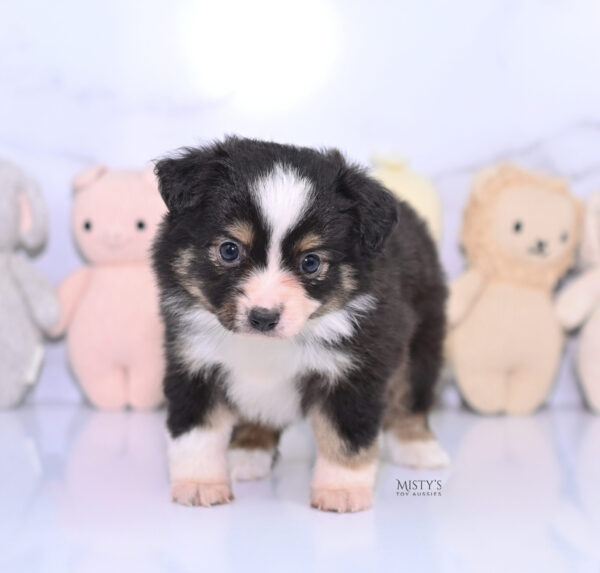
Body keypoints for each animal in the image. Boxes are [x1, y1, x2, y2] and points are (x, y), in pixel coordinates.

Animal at [152, 136, 448, 512]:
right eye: (230, 250)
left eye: (310, 262)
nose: (263, 317)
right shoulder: (193, 361)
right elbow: (195, 431)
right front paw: (199, 484)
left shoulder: (355, 369)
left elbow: (346, 435)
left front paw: (341, 490)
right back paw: (248, 452)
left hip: (423, 336)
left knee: (410, 394)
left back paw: (419, 447)